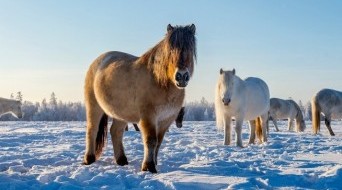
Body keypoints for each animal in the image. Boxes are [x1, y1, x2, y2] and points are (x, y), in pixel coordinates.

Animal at [83, 24, 196, 173]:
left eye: (190, 49)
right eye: (171, 50)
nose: (181, 76)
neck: (159, 82)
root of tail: (97, 61)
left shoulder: (166, 120)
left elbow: (158, 142)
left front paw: (154, 164)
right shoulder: (148, 117)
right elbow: (151, 140)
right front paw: (148, 167)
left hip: (121, 113)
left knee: (116, 132)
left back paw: (122, 160)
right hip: (94, 106)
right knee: (92, 130)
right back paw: (89, 159)